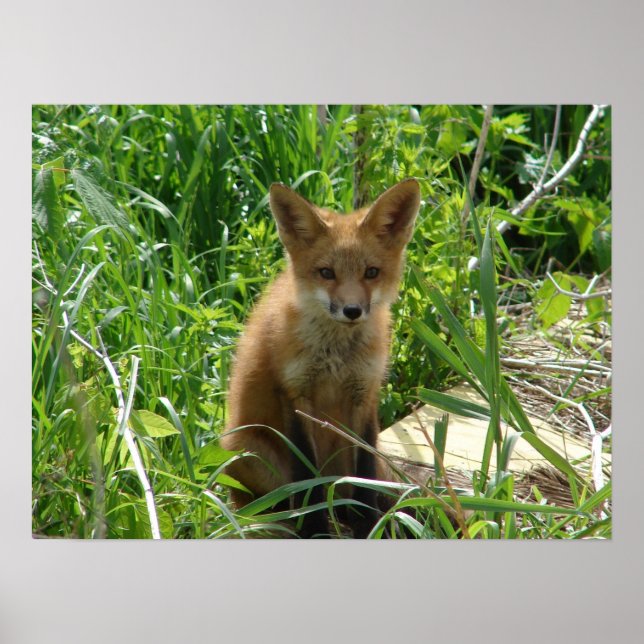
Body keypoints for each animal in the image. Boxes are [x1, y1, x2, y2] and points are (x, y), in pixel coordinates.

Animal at [221, 178, 420, 537]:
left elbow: (365, 472)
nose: (352, 310)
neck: (336, 358)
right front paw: (314, 529)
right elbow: (306, 477)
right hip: (249, 451)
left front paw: (368, 523)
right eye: (326, 272)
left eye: (371, 272)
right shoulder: (295, 393)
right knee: (270, 498)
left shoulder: (364, 393)